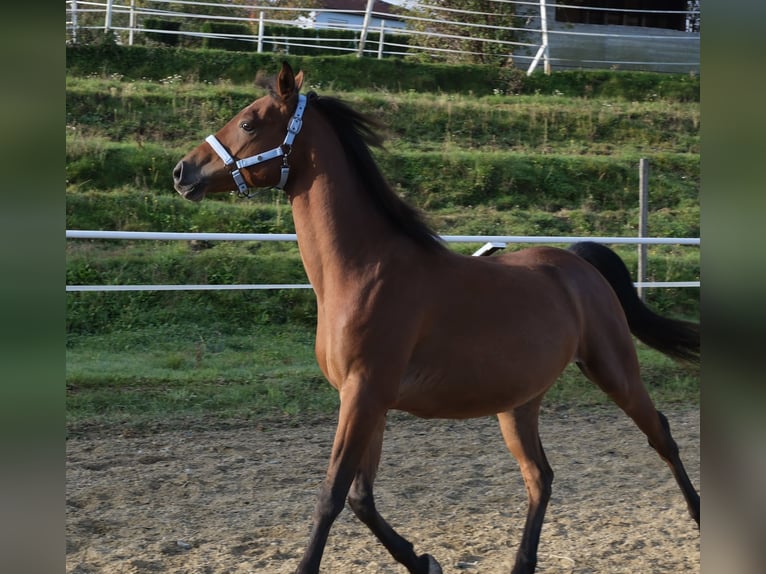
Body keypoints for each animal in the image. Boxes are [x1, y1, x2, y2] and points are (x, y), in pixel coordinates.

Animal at [173, 62, 700, 574]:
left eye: (248, 122)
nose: (181, 172)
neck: (364, 270)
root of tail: (578, 262)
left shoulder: (364, 395)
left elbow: (332, 495)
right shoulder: (367, 401)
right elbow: (362, 498)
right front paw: (424, 561)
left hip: (614, 370)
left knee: (661, 436)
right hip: (518, 403)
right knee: (540, 477)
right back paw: (521, 564)